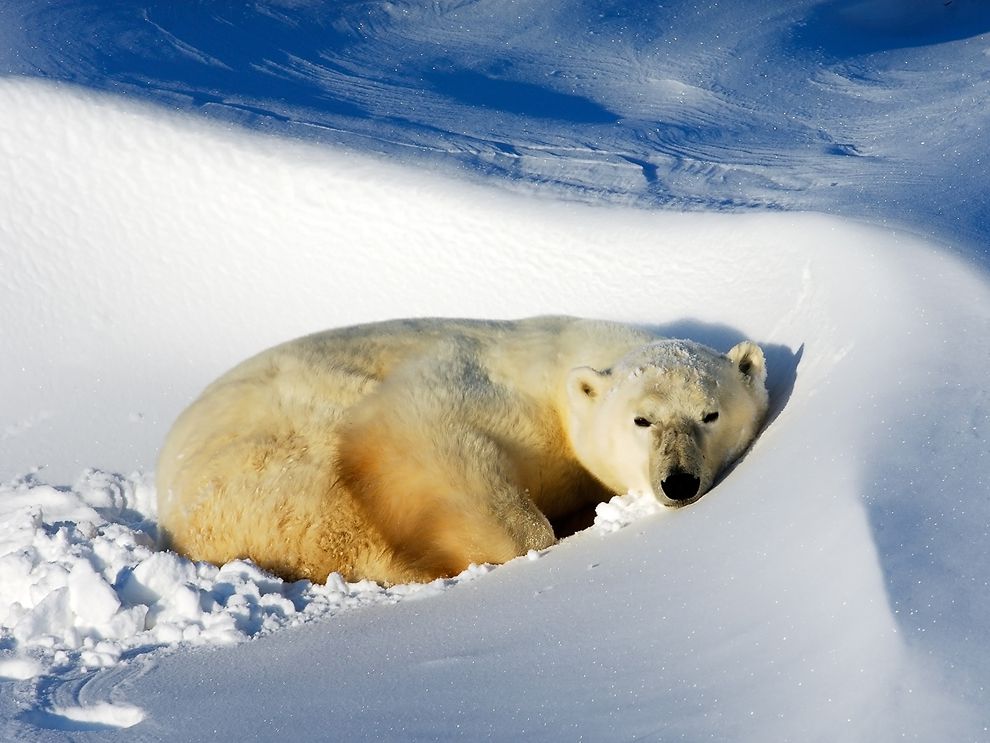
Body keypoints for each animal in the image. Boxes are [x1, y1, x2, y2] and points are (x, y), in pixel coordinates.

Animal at [159, 316, 772, 584]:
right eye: (642, 420)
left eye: (710, 415)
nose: (678, 481)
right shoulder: (476, 385)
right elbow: (426, 433)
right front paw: (533, 541)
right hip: (278, 463)